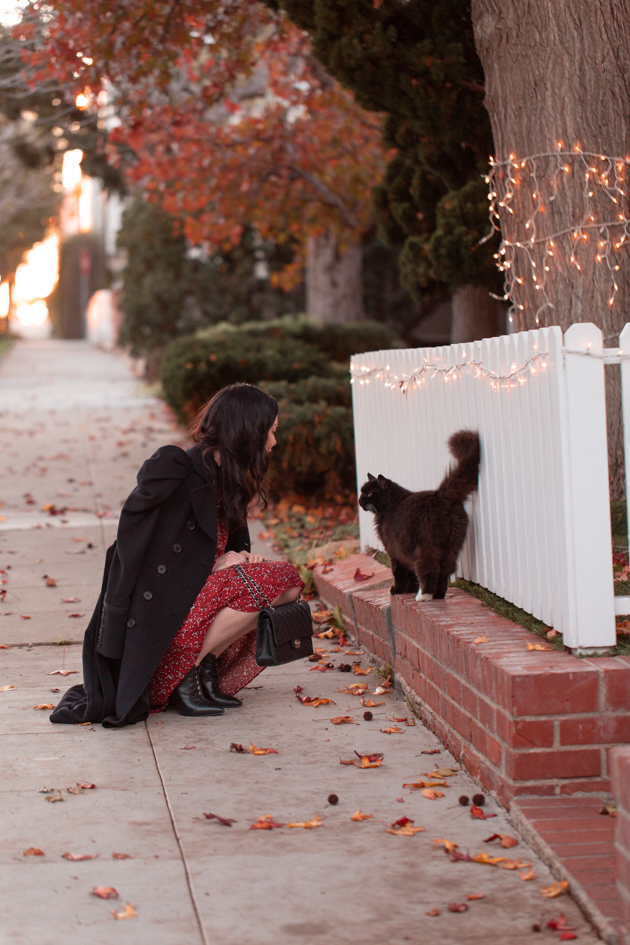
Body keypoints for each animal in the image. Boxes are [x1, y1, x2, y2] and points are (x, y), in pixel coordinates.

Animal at [358, 428, 482, 596]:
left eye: (370, 494)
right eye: (361, 493)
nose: (359, 500)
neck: (390, 506)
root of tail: (440, 496)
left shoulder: (393, 549)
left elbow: (398, 571)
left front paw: (397, 590)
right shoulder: (403, 550)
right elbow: (409, 573)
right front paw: (409, 590)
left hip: (425, 547)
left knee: (429, 568)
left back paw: (424, 595)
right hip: (451, 546)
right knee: (445, 570)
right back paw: (437, 595)